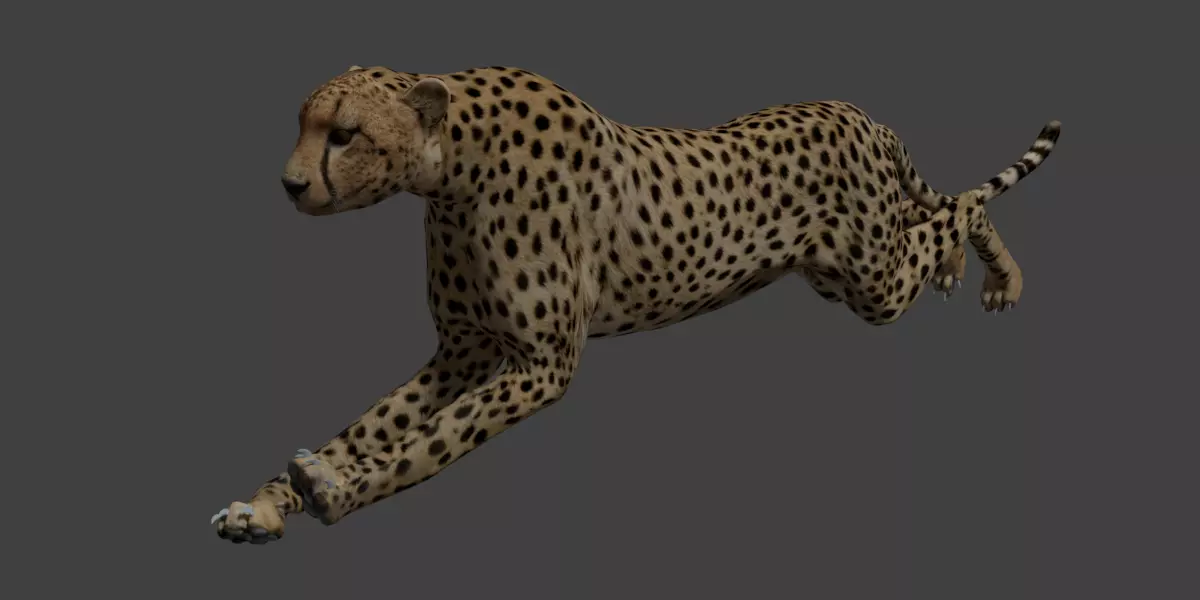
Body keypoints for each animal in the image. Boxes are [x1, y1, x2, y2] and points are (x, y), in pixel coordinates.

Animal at [211, 64, 1060, 544]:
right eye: (302, 124)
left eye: (346, 135)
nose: (289, 185)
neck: (451, 169)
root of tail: (860, 114)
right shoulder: (462, 349)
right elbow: (373, 425)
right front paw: (265, 506)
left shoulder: (539, 364)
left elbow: (431, 441)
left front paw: (334, 489)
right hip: (857, 263)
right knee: (938, 213)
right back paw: (968, 269)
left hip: (872, 278)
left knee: (958, 208)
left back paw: (999, 275)